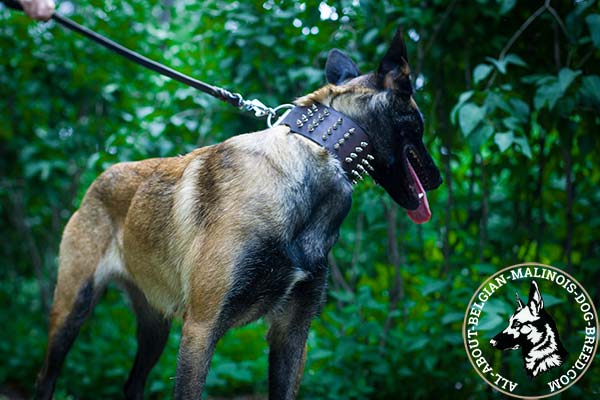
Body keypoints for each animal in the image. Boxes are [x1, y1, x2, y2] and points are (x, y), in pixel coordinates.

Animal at [35, 28, 442, 400]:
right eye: (420, 126)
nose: (437, 179)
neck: (310, 159)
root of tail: (99, 178)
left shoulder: (291, 334)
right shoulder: (201, 327)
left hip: (155, 326)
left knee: (132, 384)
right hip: (73, 307)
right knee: (46, 376)